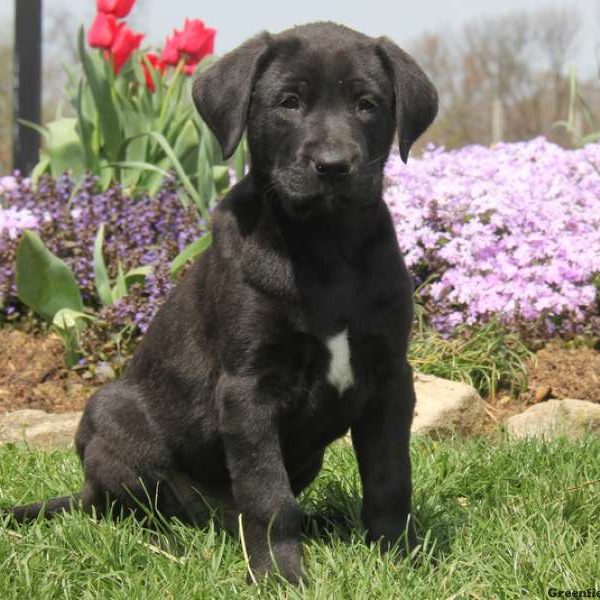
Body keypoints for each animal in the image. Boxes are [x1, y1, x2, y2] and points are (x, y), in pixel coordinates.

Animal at [7, 22, 438, 580]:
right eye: (289, 102)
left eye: (367, 104)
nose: (333, 166)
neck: (326, 244)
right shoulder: (249, 386)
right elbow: (269, 496)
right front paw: (280, 575)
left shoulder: (390, 378)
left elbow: (390, 479)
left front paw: (401, 557)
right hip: (112, 417)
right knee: (142, 507)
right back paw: (171, 541)